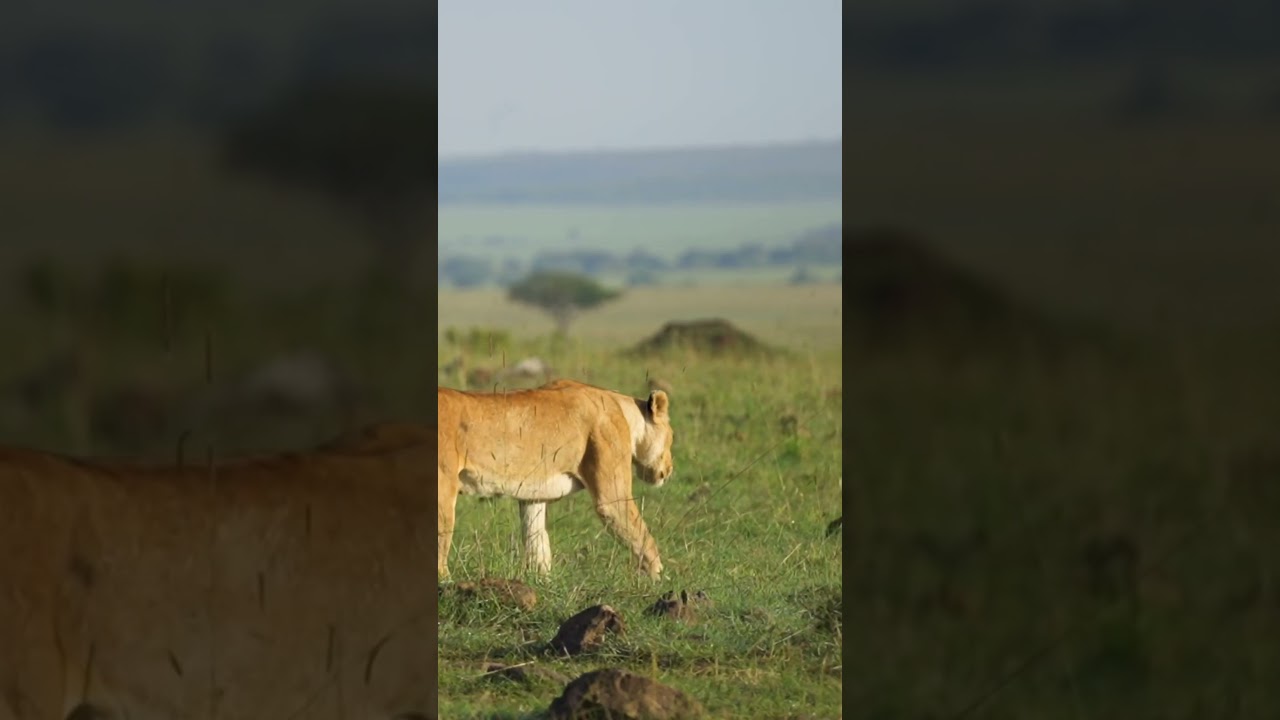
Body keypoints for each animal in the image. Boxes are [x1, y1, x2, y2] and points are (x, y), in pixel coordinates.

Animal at [437, 378, 674, 581]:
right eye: (672, 438)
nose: (670, 469)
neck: (624, 412)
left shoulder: (533, 494)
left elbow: (537, 541)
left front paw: (542, 581)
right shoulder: (611, 498)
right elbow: (642, 535)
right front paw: (658, 578)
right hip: (442, 490)